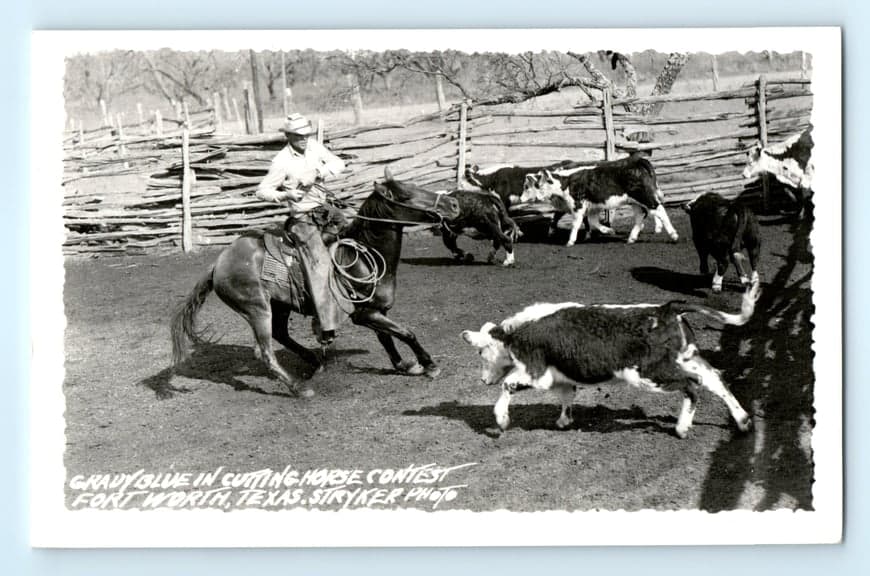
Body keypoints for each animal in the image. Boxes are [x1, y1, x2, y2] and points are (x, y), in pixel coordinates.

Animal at [168, 168, 464, 396]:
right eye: (406, 195)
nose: (454, 205)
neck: (363, 255)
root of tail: (218, 264)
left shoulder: (376, 311)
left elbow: (387, 336)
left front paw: (404, 365)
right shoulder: (364, 314)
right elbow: (405, 332)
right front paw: (429, 365)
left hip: (279, 305)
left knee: (280, 334)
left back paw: (313, 361)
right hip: (256, 309)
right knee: (266, 352)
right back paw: (299, 388)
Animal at [464, 282, 764, 438]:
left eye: (480, 352)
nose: (483, 379)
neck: (518, 332)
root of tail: (666, 309)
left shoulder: (535, 373)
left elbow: (508, 385)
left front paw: (502, 421)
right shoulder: (561, 376)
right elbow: (567, 396)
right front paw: (564, 421)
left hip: (648, 373)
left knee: (693, 384)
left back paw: (681, 428)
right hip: (685, 356)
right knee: (714, 378)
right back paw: (743, 421)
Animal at [516, 153, 680, 245]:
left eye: (527, 186)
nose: (521, 198)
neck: (567, 181)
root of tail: (637, 161)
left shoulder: (577, 206)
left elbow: (575, 223)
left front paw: (570, 241)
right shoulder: (593, 207)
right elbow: (593, 222)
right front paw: (608, 230)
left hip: (644, 196)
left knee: (659, 209)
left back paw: (673, 235)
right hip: (634, 201)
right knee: (641, 215)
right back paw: (632, 238)